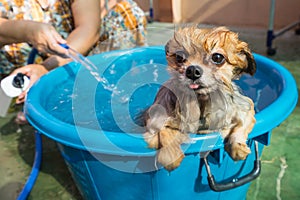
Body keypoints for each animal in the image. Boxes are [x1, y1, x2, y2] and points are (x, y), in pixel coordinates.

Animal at [144, 25, 256, 171]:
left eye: (217, 57)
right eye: (179, 57)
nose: (192, 70)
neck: (201, 100)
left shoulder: (245, 107)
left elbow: (240, 125)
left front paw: (238, 147)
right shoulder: (156, 120)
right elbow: (163, 131)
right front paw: (171, 157)